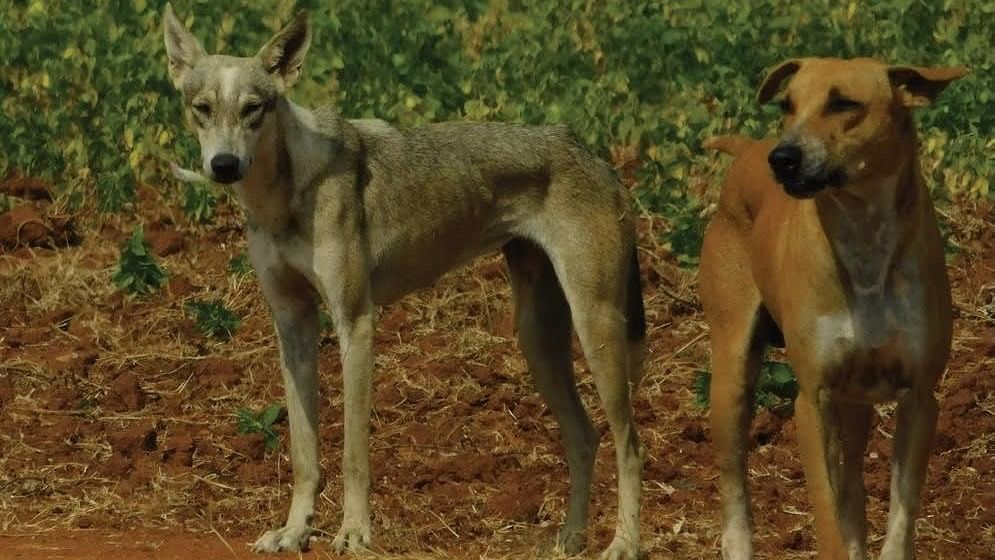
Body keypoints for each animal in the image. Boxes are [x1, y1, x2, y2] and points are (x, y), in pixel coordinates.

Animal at [162, 5, 644, 560]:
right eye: (201, 108)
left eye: (253, 109)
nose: (223, 166)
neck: (283, 194)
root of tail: (593, 153)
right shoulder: (292, 324)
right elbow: (305, 454)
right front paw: (294, 531)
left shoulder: (356, 324)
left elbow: (353, 454)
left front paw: (354, 533)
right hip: (538, 340)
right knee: (586, 437)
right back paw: (569, 541)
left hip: (596, 329)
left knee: (630, 445)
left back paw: (625, 544)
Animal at [696, 58, 968, 560]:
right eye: (786, 104)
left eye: (844, 104)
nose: (782, 158)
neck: (864, 238)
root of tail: (748, 151)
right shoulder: (813, 401)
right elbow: (826, 511)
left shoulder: (921, 399)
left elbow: (900, 515)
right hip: (731, 375)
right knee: (735, 479)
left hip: (854, 402)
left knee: (854, 488)